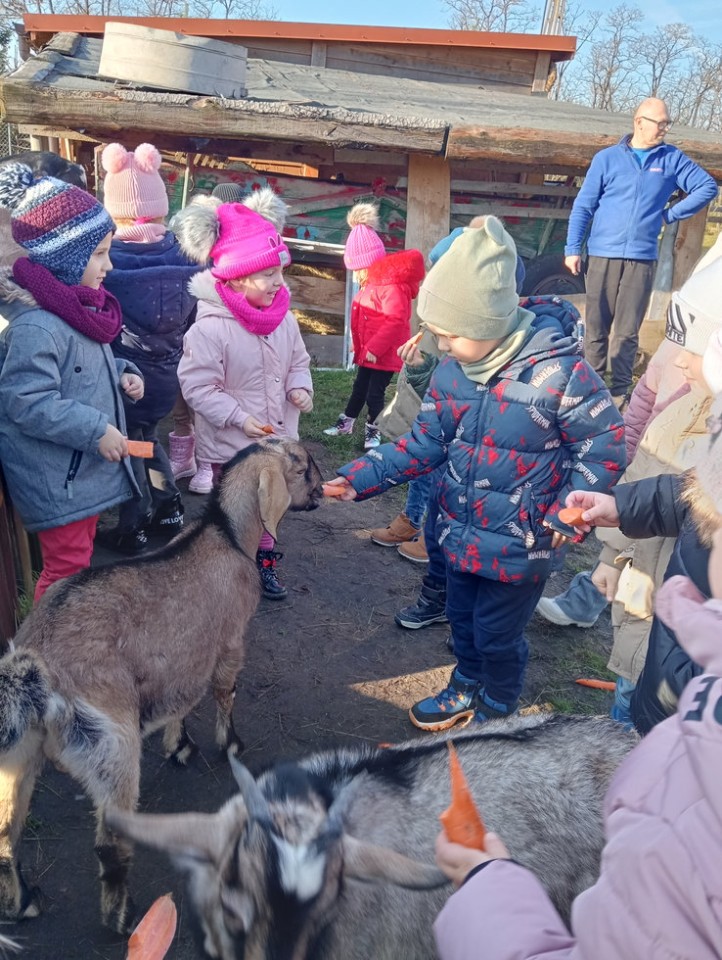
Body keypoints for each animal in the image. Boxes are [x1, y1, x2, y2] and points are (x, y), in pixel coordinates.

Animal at [0, 439, 323, 934]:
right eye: (303, 469)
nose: (322, 493)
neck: (227, 536)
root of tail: (34, 661)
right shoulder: (230, 640)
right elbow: (224, 692)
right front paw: (229, 744)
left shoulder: (184, 657)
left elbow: (182, 701)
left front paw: (179, 745)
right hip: (109, 738)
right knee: (110, 839)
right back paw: (121, 918)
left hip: (19, 754)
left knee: (5, 835)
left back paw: (24, 903)